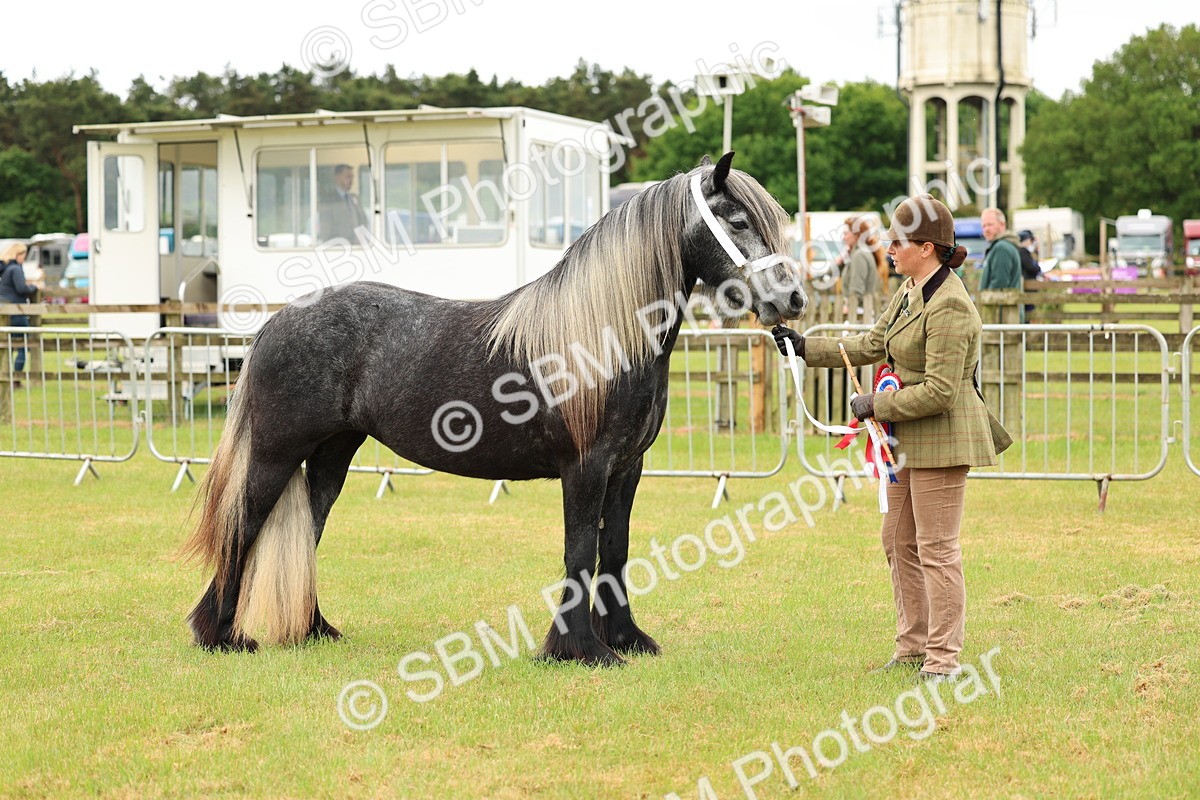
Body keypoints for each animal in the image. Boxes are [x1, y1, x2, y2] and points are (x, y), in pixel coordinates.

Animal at [181, 151, 807, 666]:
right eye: (736, 221)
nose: (793, 299)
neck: (603, 338)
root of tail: (277, 322)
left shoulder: (627, 468)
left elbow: (615, 550)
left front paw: (627, 640)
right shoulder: (586, 467)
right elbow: (580, 550)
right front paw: (580, 651)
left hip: (332, 457)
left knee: (308, 529)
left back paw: (312, 630)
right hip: (276, 453)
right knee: (244, 526)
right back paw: (222, 637)